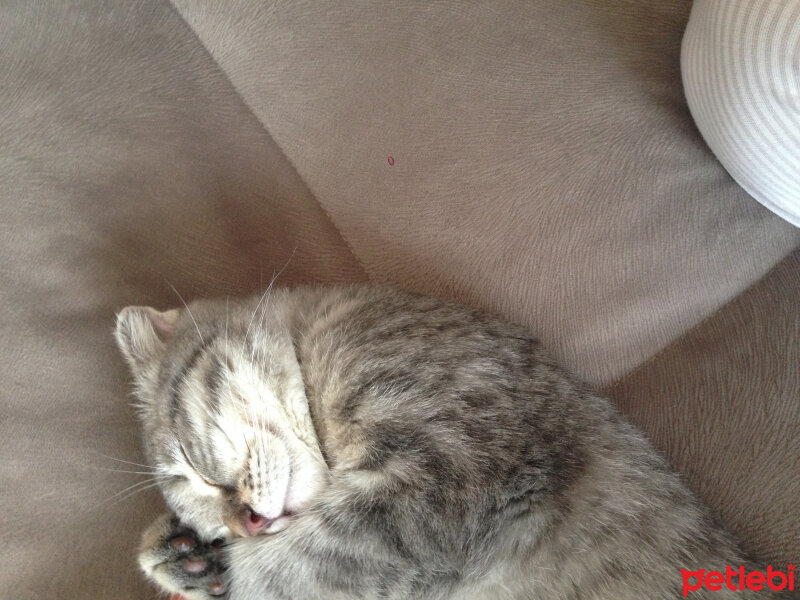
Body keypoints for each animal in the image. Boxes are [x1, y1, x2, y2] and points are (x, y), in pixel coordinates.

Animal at [115, 284, 792, 596]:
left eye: (192, 467)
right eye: (203, 509)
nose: (245, 525)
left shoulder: (448, 469)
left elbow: (294, 568)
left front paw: (230, 571)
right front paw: (185, 557)